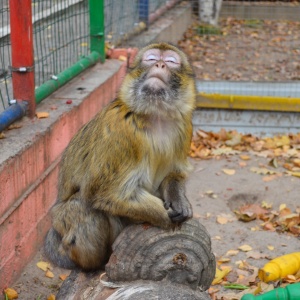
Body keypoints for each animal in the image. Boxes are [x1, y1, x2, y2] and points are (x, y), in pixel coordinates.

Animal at [43, 42, 196, 272]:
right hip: (63, 223)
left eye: (171, 61)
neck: (155, 115)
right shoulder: (121, 131)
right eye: (151, 59)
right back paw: (96, 265)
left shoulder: (184, 125)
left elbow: (175, 173)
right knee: (84, 207)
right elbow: (105, 194)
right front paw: (163, 216)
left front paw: (179, 201)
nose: (159, 64)